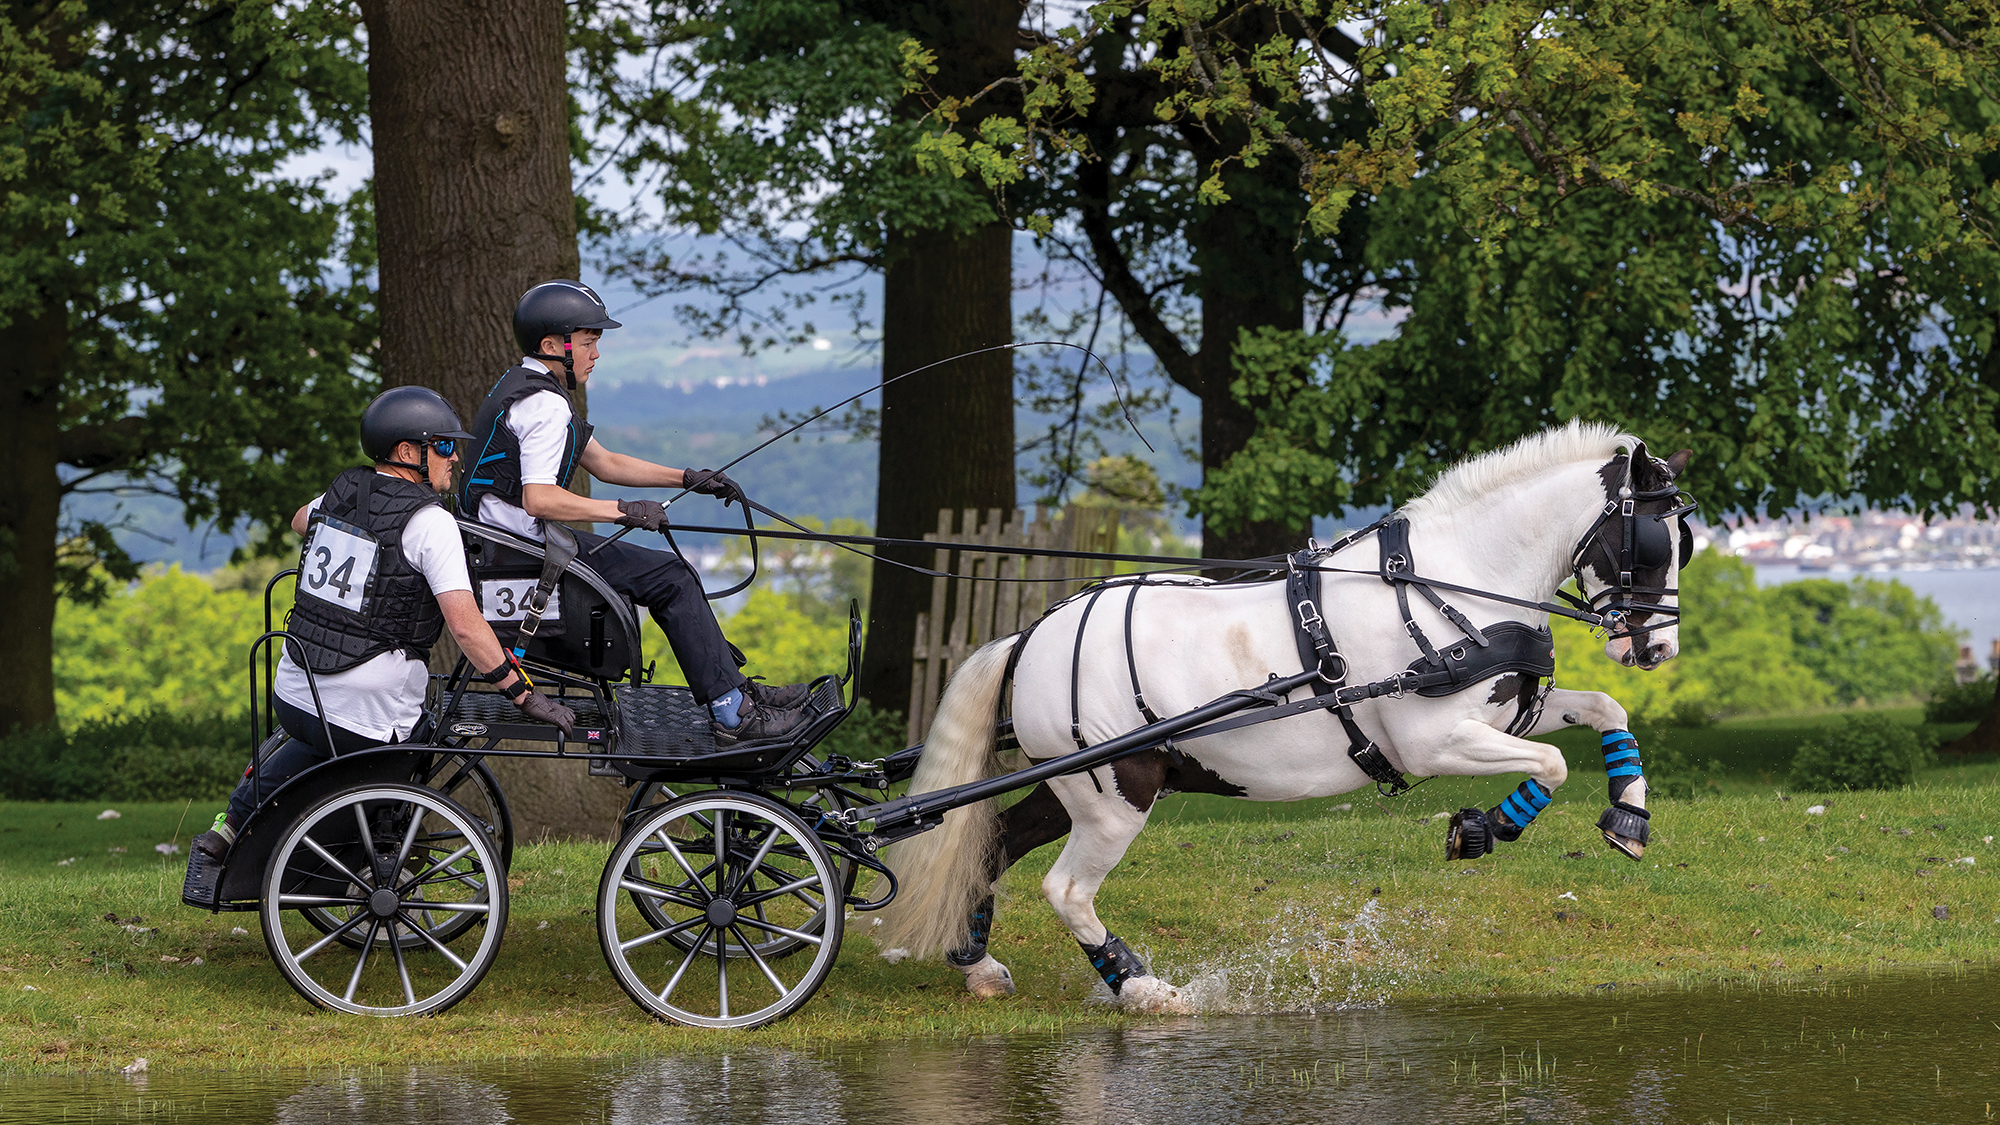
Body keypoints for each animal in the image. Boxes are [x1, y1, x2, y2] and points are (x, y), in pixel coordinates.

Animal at [872, 422, 1695, 1011]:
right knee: (1067, 890)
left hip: (1071, 785)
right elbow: (1551, 765)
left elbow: (1605, 708)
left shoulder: (1511, 713)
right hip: (1115, 797)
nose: (1659, 646)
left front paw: (1628, 815)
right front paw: (1482, 827)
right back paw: (1141, 987)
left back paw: (978, 964)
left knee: (995, 844)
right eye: (1655, 543)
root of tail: (1028, 638)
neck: (1448, 580)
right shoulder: (1433, 742)